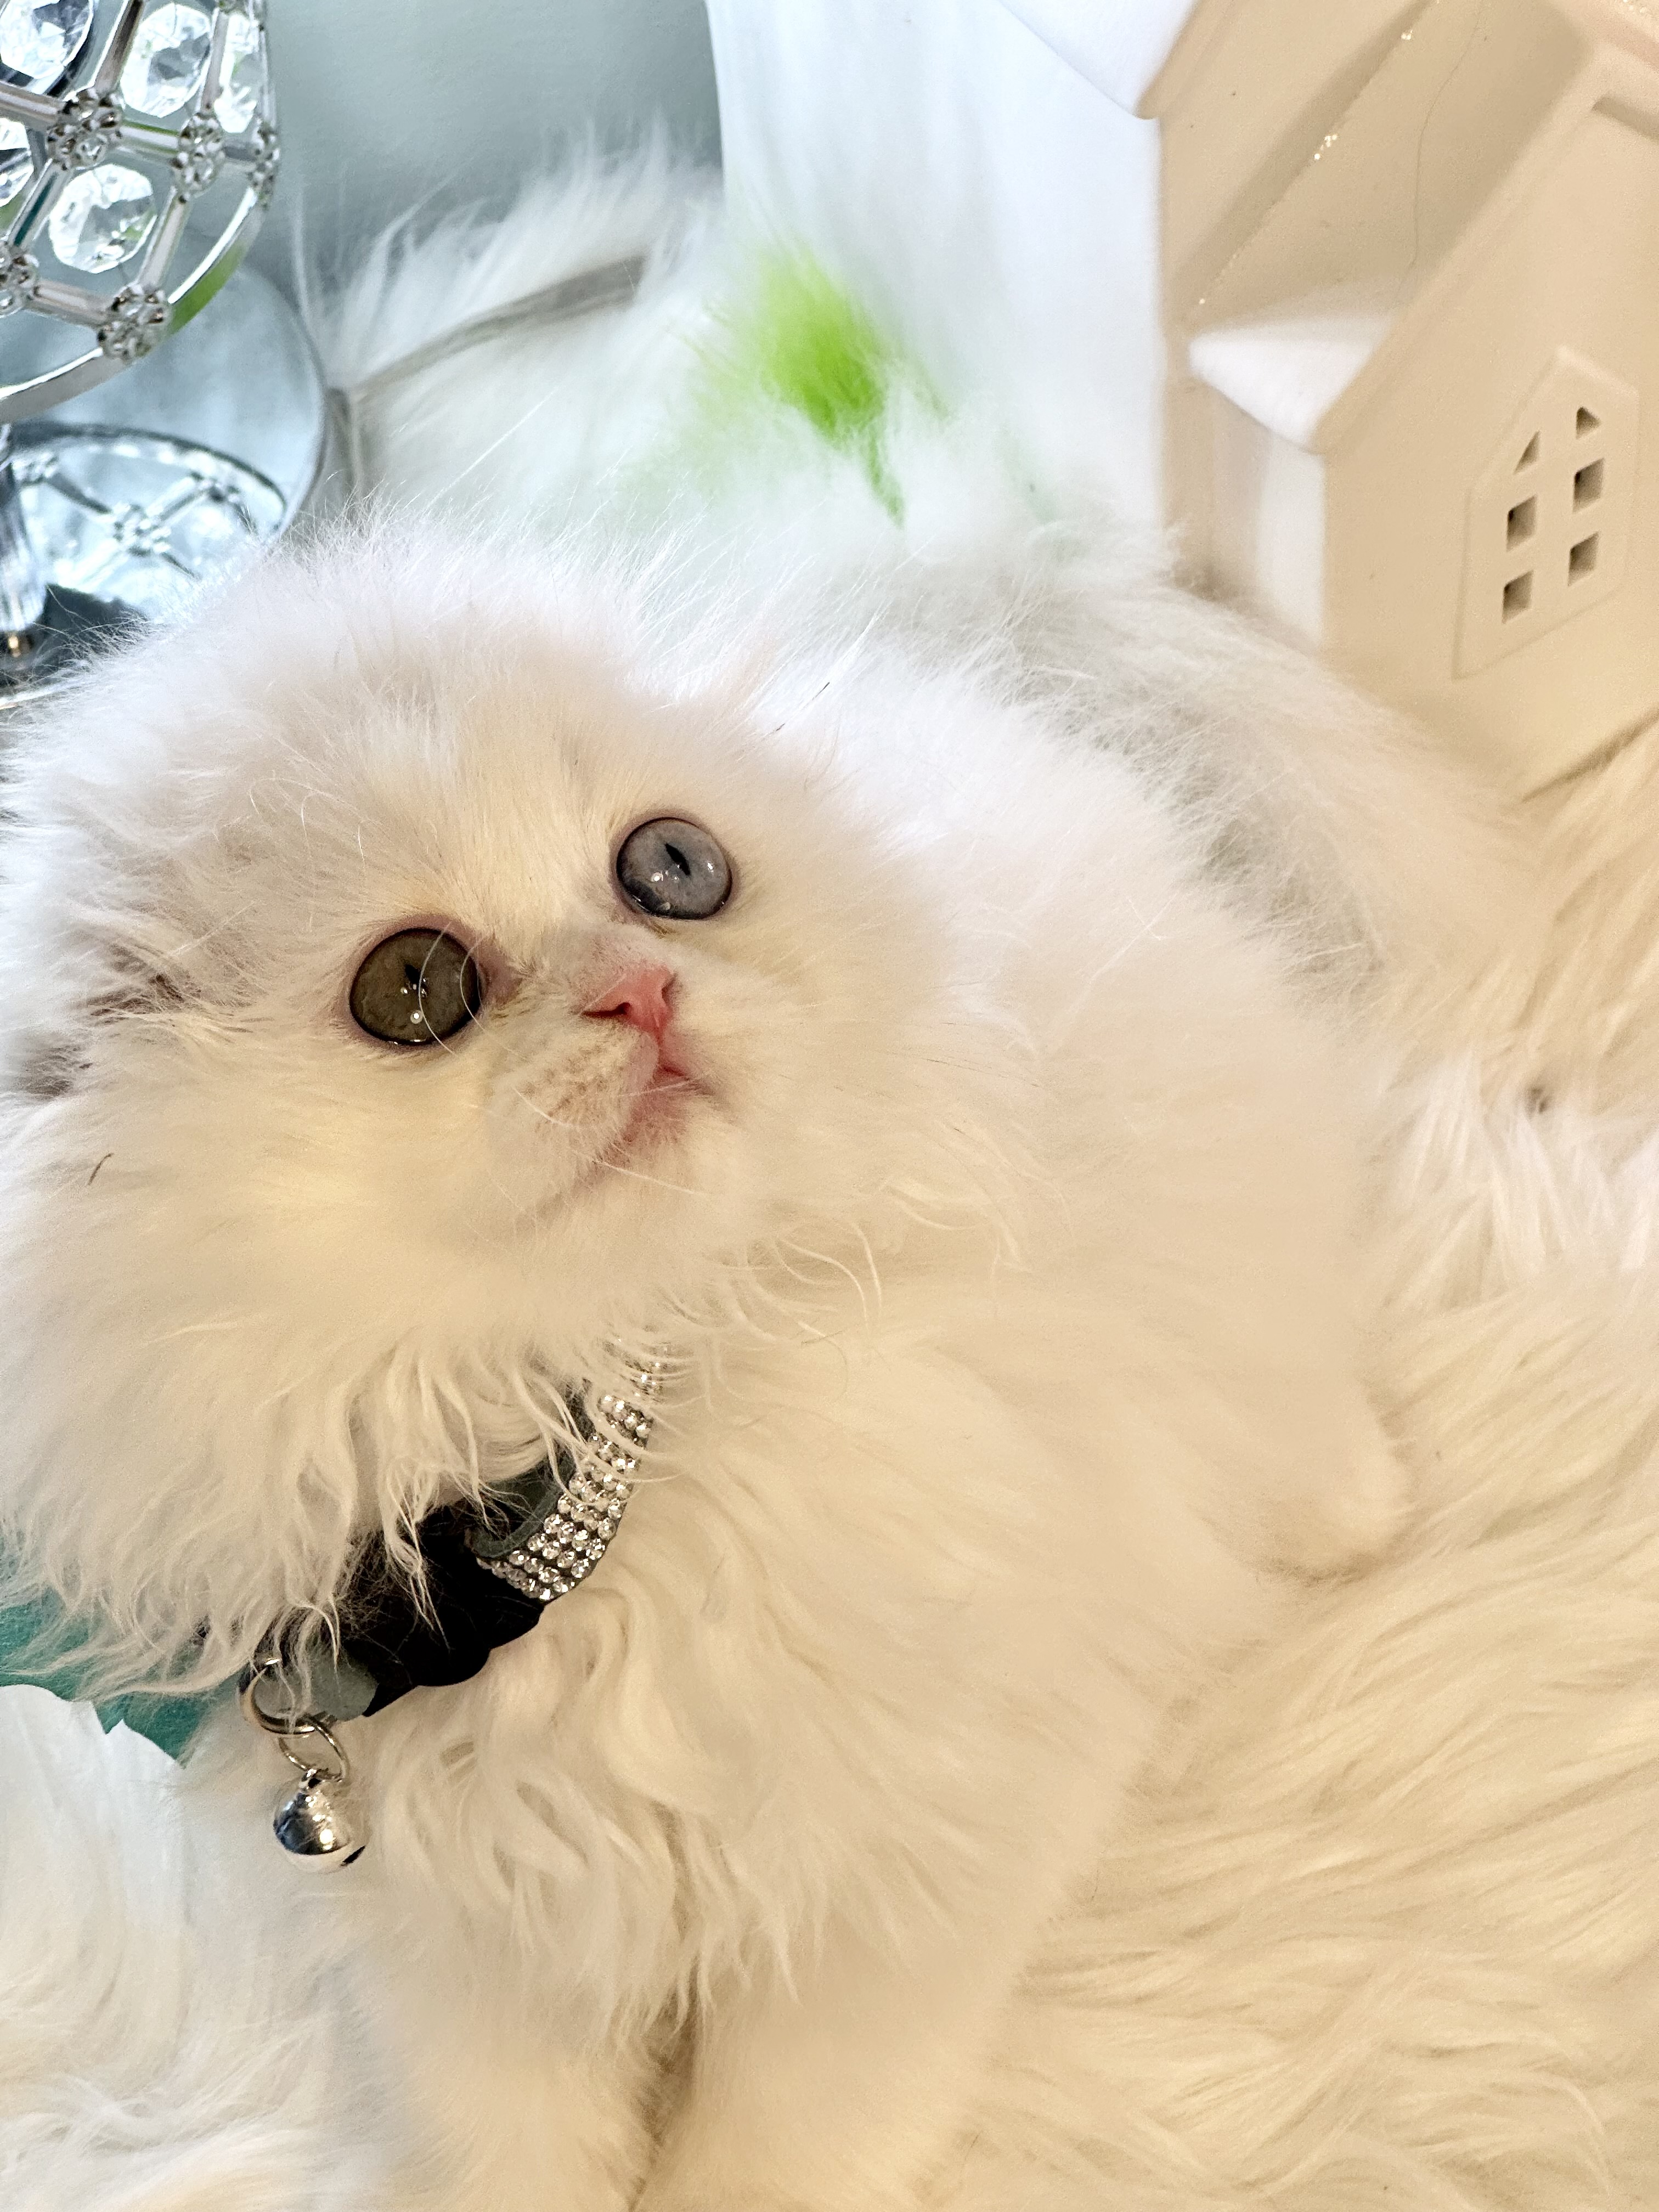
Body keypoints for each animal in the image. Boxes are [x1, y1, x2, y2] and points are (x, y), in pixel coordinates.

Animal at [0, 526, 1415, 2203]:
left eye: (671, 872)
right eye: (413, 987)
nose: (644, 989)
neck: (597, 1475)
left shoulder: (925, 1850)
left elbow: (798, 2129)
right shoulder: (451, 1948)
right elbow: (499, 2153)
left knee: (1292, 1376)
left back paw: (1353, 1509)